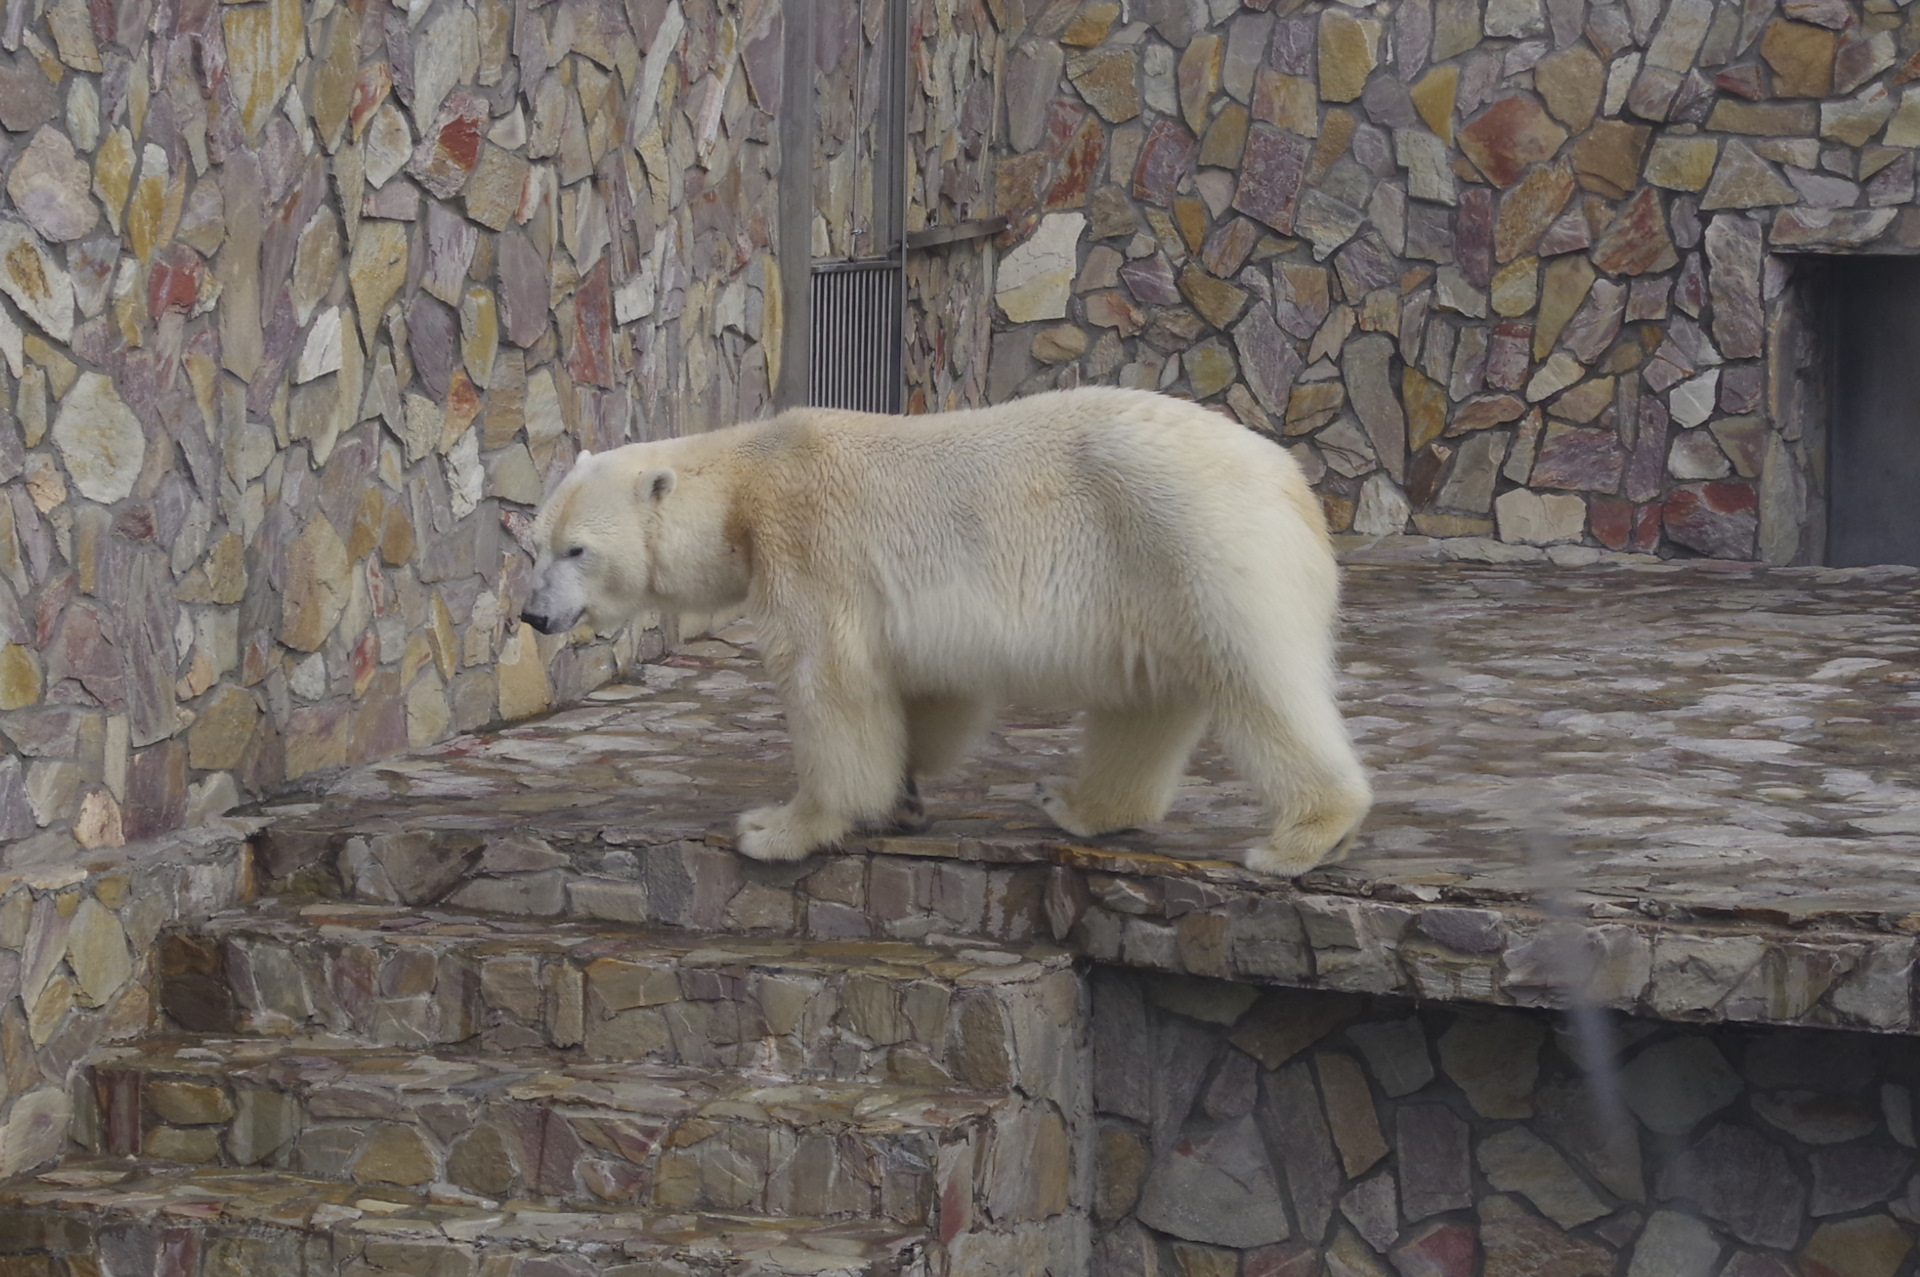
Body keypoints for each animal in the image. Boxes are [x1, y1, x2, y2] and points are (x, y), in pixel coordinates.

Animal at [522, 384, 1367, 871]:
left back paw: (1299, 839)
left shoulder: (812, 546)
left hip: (1196, 543)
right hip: (1153, 582)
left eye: (578, 549)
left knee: (1259, 680)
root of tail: (1291, 482)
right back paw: (1078, 803)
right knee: (1147, 701)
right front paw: (905, 789)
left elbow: (830, 681)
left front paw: (779, 826)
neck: (747, 484)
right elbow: (930, 689)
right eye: (535, 542)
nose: (532, 613)